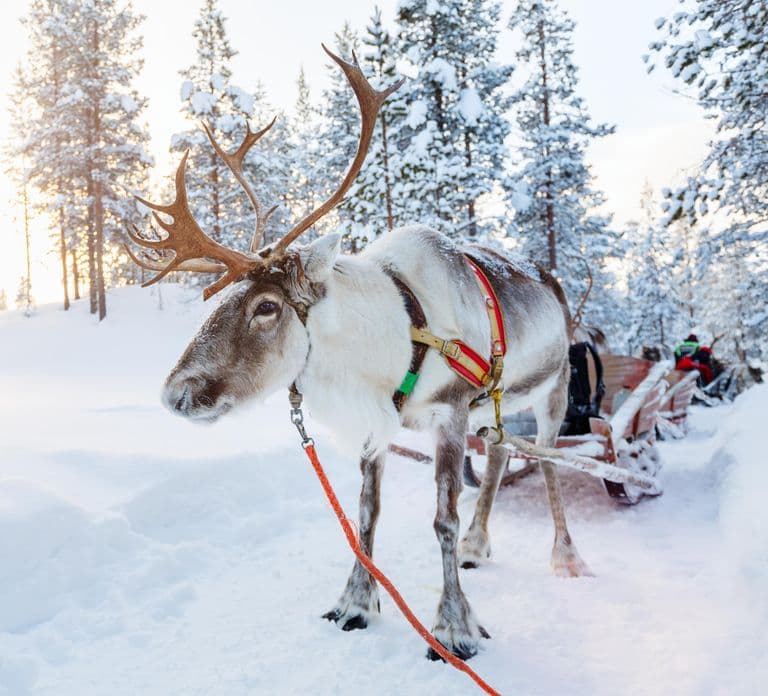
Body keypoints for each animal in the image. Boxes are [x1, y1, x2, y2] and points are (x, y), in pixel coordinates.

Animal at [127, 46, 592, 663]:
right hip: (495, 404)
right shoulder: (381, 421)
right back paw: (478, 544)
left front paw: (454, 628)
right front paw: (353, 604)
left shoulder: (451, 411)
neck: (398, 334)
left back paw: (565, 555)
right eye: (224, 299)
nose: (174, 394)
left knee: (547, 460)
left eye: (267, 307)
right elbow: (366, 512)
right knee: (497, 454)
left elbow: (441, 518)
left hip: (553, 388)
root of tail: (553, 281)